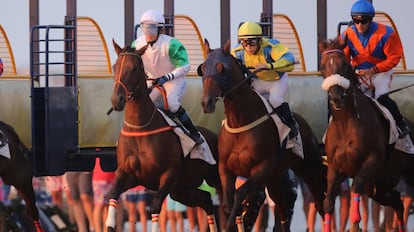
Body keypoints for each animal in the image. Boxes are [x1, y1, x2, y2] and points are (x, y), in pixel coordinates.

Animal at [106, 40, 223, 232]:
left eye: (134, 69)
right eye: (116, 67)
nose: (117, 100)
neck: (140, 129)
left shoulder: (169, 175)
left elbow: (155, 207)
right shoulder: (127, 174)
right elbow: (113, 195)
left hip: (215, 178)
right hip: (182, 189)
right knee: (206, 200)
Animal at [198, 39, 326, 232]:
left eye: (222, 68)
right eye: (204, 67)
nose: (207, 102)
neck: (240, 122)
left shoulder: (262, 168)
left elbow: (241, 193)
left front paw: (230, 224)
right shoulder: (225, 169)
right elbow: (228, 204)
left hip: (310, 168)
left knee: (321, 202)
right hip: (275, 179)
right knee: (283, 211)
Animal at [318, 37, 414, 231]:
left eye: (344, 65)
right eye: (323, 66)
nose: (336, 97)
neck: (345, 123)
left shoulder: (372, 161)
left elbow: (355, 187)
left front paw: (356, 223)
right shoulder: (334, 167)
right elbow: (328, 202)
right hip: (380, 185)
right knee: (398, 202)